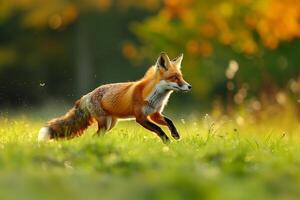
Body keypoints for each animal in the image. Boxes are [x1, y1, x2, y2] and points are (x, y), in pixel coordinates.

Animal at [38, 52, 191, 144]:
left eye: (181, 77)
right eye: (174, 78)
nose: (189, 86)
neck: (154, 97)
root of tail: (86, 95)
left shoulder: (155, 114)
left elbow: (170, 121)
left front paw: (175, 134)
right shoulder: (140, 118)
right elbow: (159, 129)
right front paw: (168, 143)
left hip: (110, 124)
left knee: (95, 137)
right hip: (105, 123)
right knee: (95, 136)